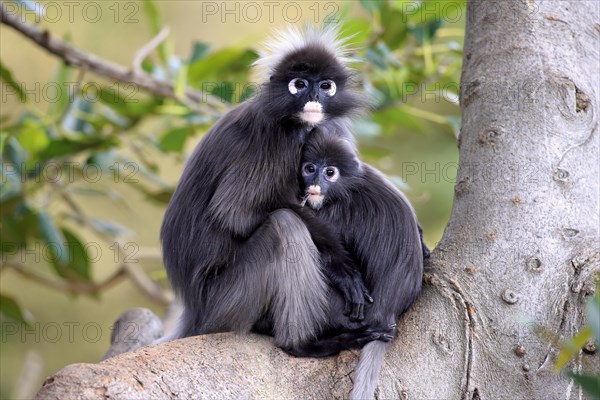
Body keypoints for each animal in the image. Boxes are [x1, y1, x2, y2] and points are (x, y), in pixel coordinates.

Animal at [159, 28, 386, 352]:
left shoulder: (331, 130)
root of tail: (194, 310)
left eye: (325, 86)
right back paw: (303, 344)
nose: (313, 97)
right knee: (284, 225)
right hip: (225, 303)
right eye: (299, 84)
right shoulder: (275, 137)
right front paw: (341, 266)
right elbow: (235, 213)